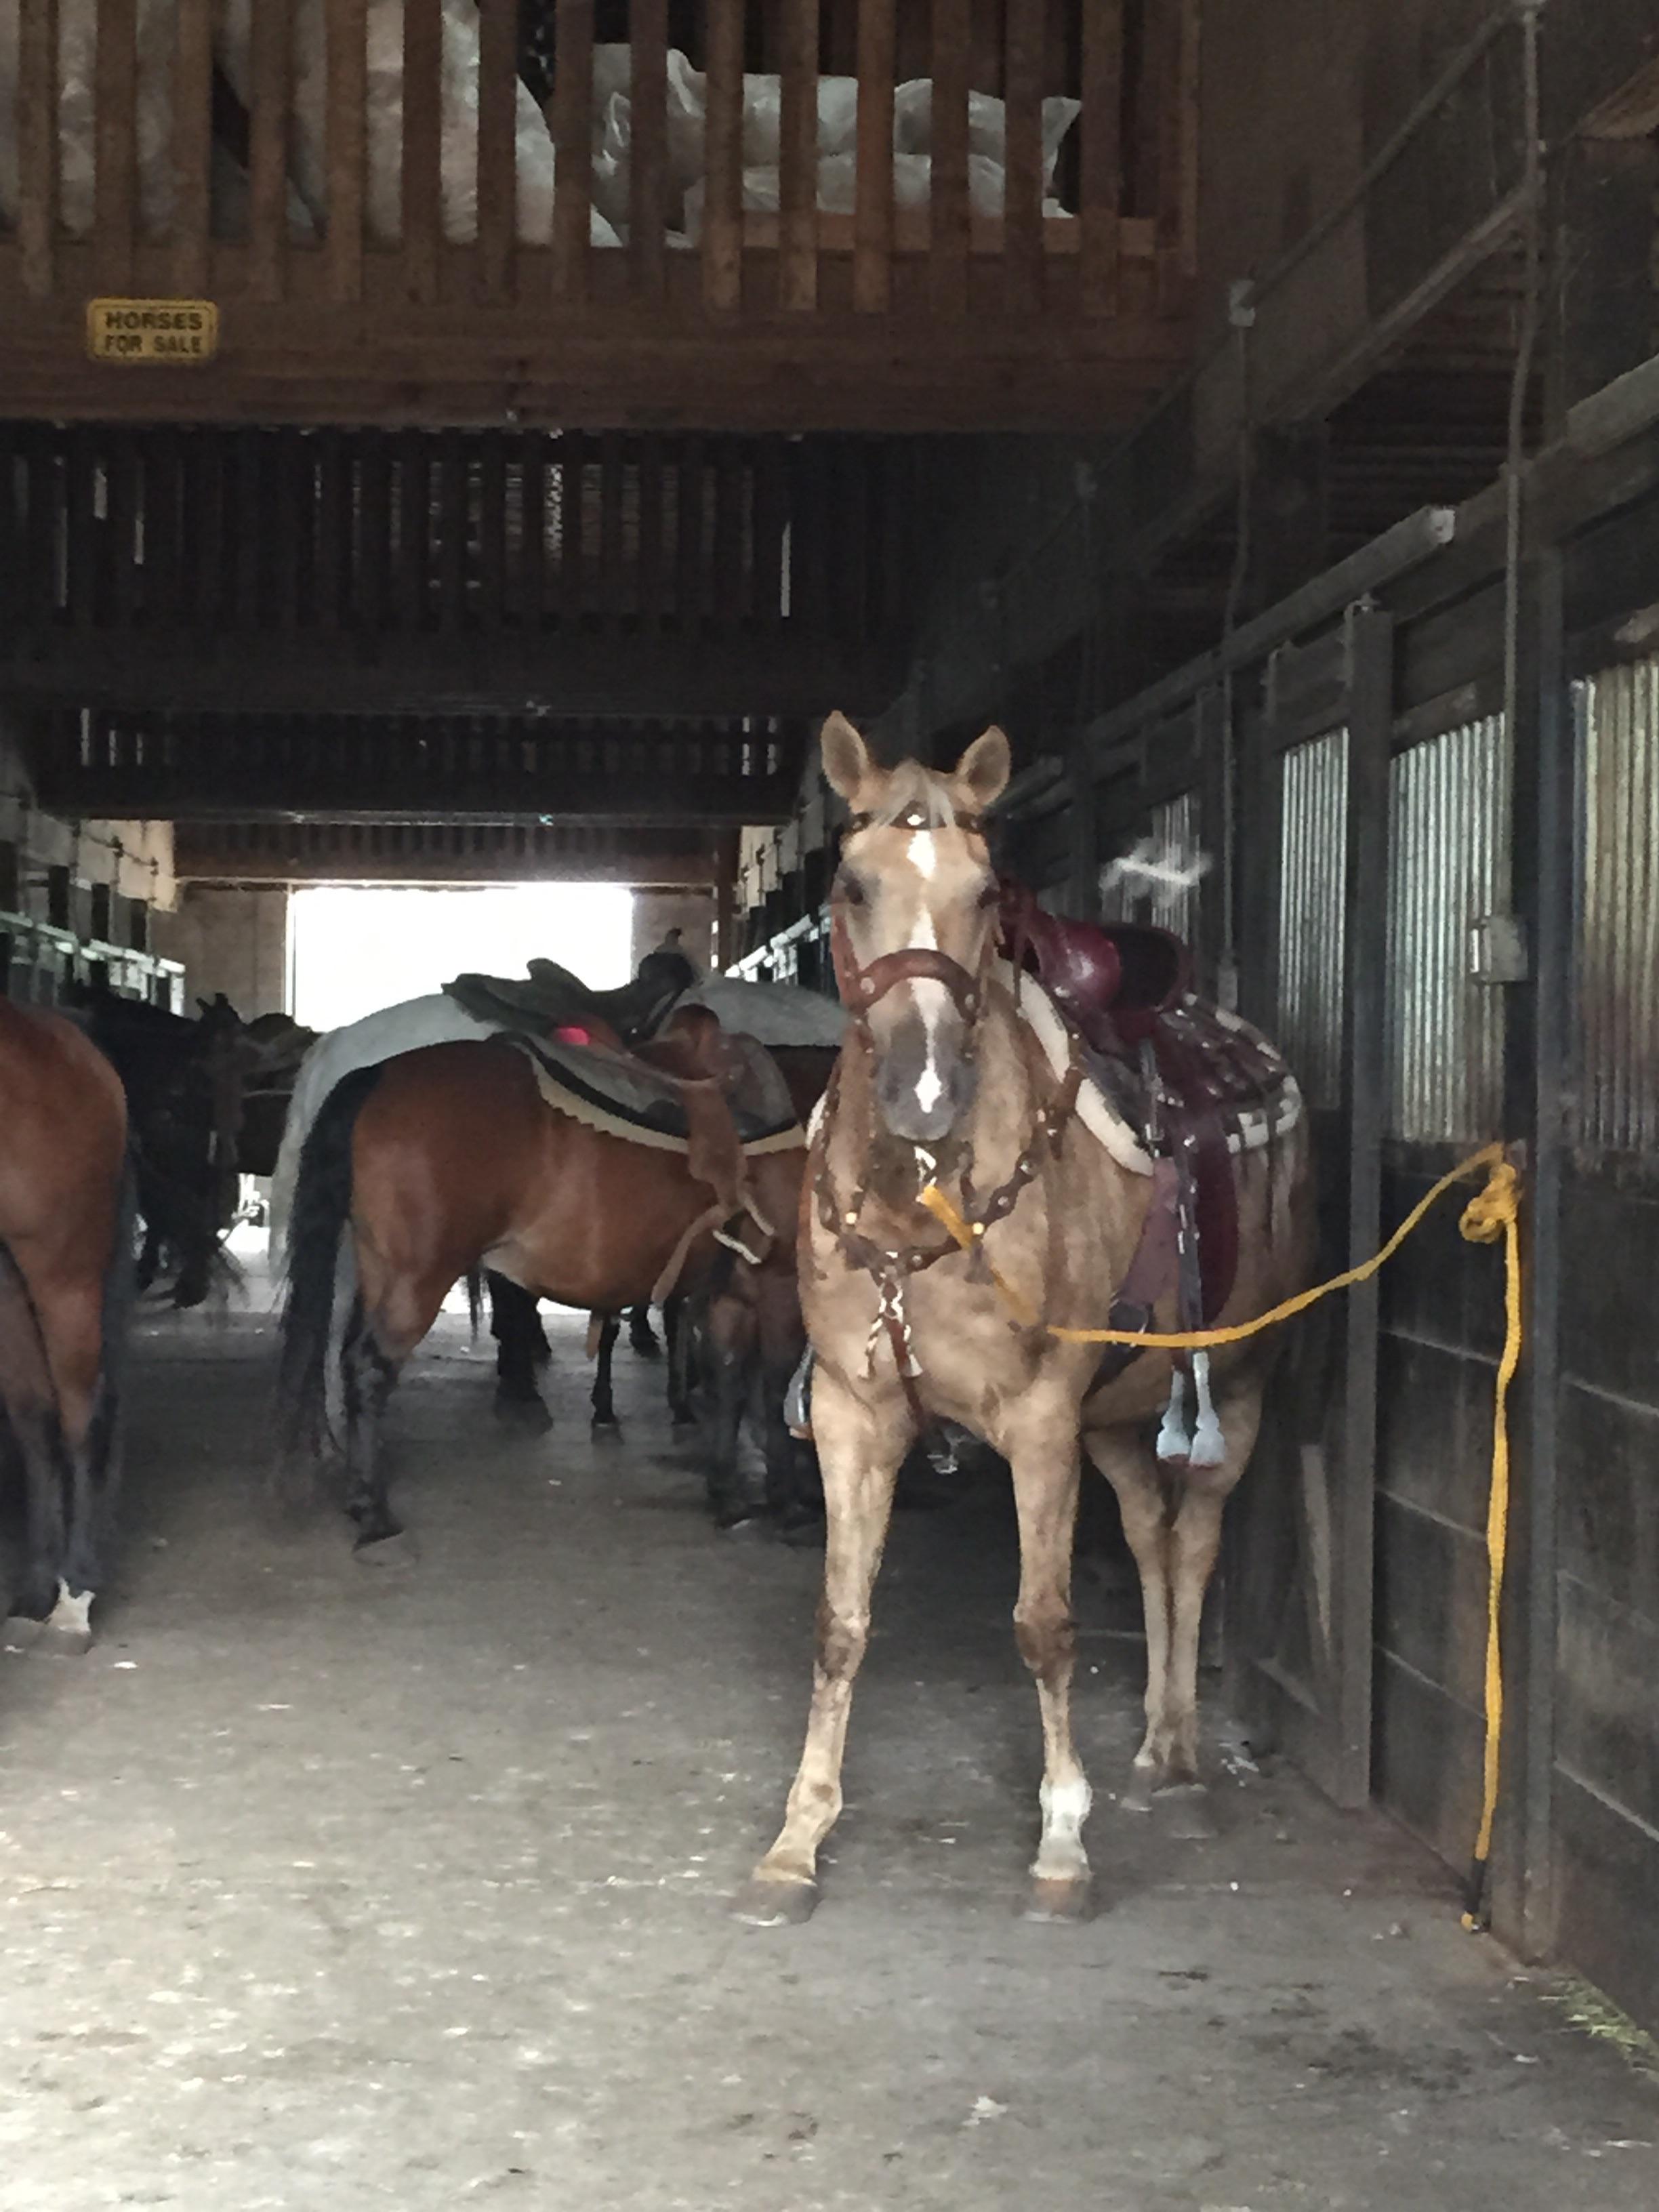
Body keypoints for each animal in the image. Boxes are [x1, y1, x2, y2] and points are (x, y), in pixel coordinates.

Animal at [276, 1012, 809, 1548]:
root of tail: (374, 1076)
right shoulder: (781, 1289)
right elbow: (773, 1392)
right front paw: (787, 1504)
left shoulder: (731, 1296)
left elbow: (731, 1383)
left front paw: (727, 1493)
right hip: (416, 1281)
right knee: (369, 1367)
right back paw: (373, 1513)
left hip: (378, 1269)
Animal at [739, 716, 1309, 1929]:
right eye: (852, 886)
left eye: (984, 892)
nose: (921, 1096)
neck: (920, 1196)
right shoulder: (854, 1418)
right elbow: (840, 1626)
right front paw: (797, 1839)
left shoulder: (1040, 1423)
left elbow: (1044, 1627)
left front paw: (1061, 1844)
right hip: (1117, 1416)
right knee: (1147, 1537)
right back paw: (1153, 1747)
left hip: (1233, 1388)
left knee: (1195, 1545)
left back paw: (1181, 1761)